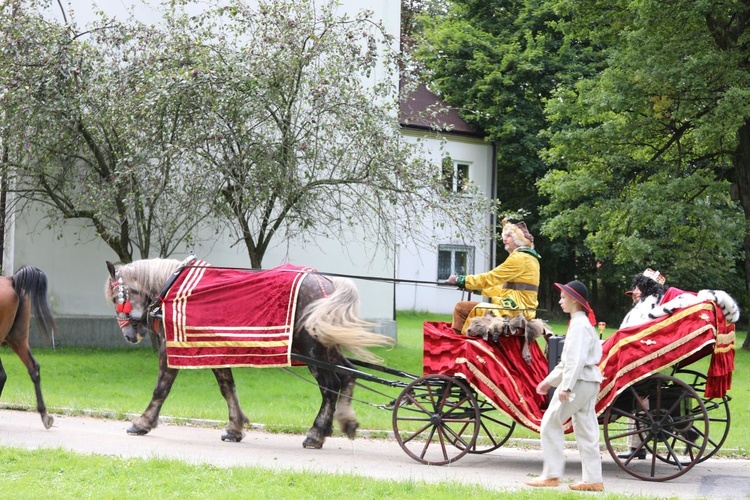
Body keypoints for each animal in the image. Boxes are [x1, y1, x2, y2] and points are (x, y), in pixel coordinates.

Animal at [108, 260, 396, 448]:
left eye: (115, 297)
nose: (129, 335)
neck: (173, 288)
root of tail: (327, 282)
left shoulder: (174, 348)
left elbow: (162, 387)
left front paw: (142, 423)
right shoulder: (214, 350)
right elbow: (227, 387)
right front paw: (235, 428)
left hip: (312, 350)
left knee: (330, 386)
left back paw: (316, 434)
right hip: (326, 348)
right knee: (348, 376)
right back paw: (344, 422)